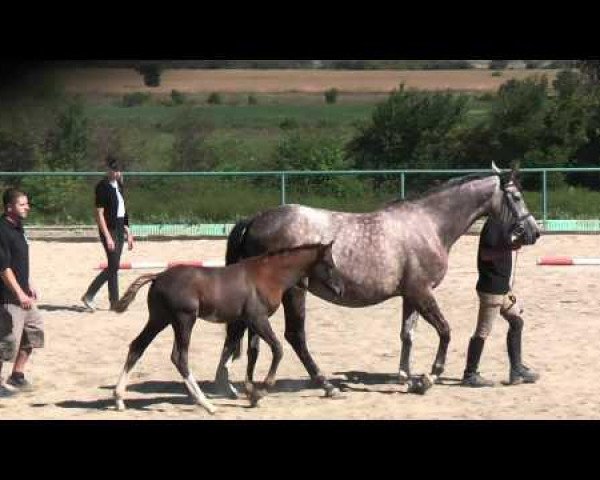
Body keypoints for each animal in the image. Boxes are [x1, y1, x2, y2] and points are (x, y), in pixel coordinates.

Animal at [112, 242, 342, 414]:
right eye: (329, 264)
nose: (339, 290)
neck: (268, 275)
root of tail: (158, 276)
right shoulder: (258, 319)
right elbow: (277, 349)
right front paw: (261, 392)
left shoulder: (245, 321)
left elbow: (247, 351)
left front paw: (249, 393)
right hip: (184, 320)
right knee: (179, 357)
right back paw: (207, 404)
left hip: (159, 319)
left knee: (137, 346)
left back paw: (119, 399)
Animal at [214, 164, 540, 398]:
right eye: (516, 196)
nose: (533, 232)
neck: (429, 224)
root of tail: (254, 219)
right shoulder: (422, 293)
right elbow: (445, 331)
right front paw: (428, 378)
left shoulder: (410, 295)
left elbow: (407, 335)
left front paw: (407, 378)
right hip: (294, 292)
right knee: (295, 336)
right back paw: (324, 385)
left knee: (244, 335)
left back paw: (235, 385)